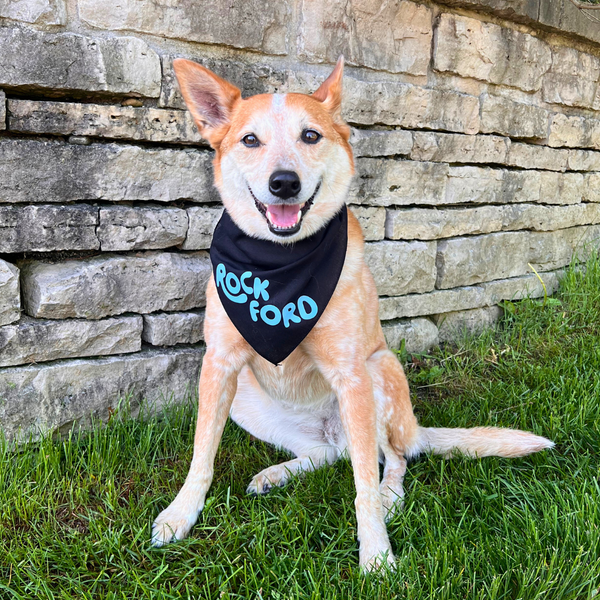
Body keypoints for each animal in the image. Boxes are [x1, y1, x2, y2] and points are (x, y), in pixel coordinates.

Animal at [151, 57, 552, 572]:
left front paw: (377, 554)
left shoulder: (351, 373)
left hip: (379, 374)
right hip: (245, 399)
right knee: (328, 455)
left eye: (310, 136)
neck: (279, 267)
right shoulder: (218, 363)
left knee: (392, 458)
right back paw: (278, 473)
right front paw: (181, 514)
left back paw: (389, 497)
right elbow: (202, 454)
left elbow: (362, 485)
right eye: (250, 140)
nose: (284, 183)